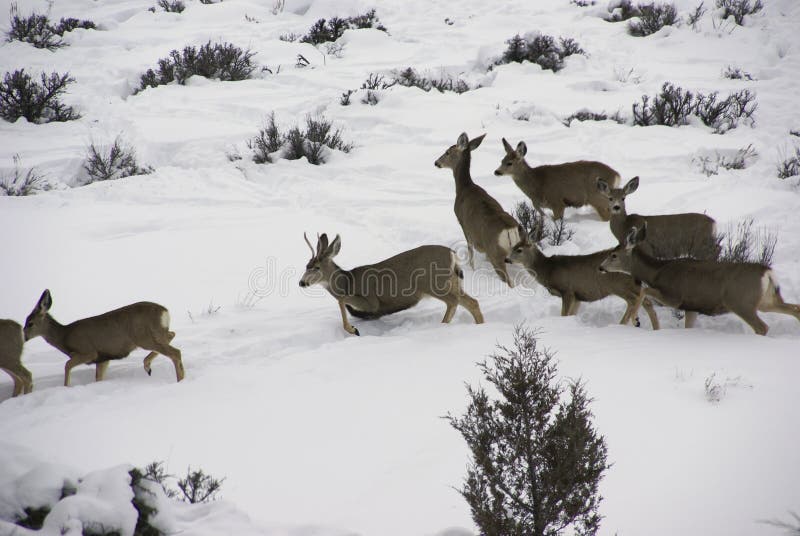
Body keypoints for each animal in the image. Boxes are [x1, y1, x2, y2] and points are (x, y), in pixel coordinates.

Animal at [23, 290, 184, 386]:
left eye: (30, 323)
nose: (24, 336)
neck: (64, 336)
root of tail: (165, 311)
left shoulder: (89, 352)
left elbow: (67, 365)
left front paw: (66, 386)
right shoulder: (103, 358)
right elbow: (98, 378)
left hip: (144, 337)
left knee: (175, 352)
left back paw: (179, 380)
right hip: (156, 333)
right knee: (172, 335)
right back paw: (148, 366)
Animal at [299, 233, 483, 336]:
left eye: (316, 267)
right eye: (306, 265)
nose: (301, 282)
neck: (348, 282)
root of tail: (453, 254)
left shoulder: (372, 302)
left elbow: (341, 300)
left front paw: (353, 330)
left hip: (433, 283)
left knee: (454, 301)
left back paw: (442, 326)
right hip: (452, 282)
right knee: (471, 302)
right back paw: (480, 326)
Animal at [435, 132, 521, 287]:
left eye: (447, 152)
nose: (436, 162)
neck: (464, 188)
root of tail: (509, 230)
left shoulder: (463, 223)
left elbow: (470, 250)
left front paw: (472, 269)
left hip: (496, 253)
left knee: (508, 281)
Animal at [505, 230, 659, 328]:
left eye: (519, 250)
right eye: (512, 247)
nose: (506, 259)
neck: (548, 269)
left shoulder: (567, 290)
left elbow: (563, 314)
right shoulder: (578, 296)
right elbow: (570, 315)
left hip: (619, 285)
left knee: (636, 300)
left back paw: (631, 323)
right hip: (629, 286)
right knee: (646, 301)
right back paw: (653, 327)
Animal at [599, 225, 800, 335]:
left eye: (614, 255)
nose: (600, 267)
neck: (657, 272)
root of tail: (767, 272)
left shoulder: (674, 296)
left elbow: (645, 290)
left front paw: (636, 320)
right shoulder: (691, 307)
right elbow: (688, 327)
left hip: (740, 302)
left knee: (762, 327)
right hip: (765, 300)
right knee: (794, 308)